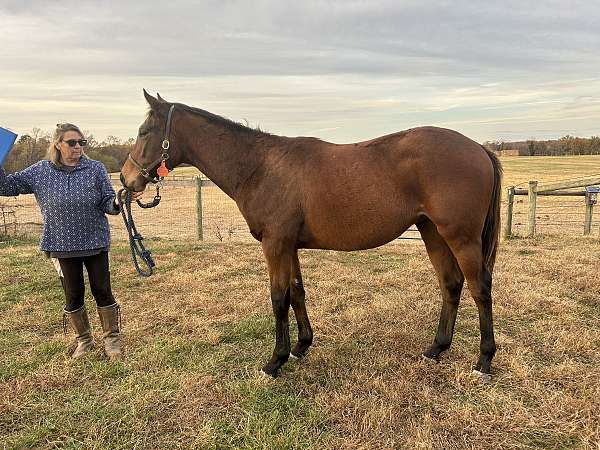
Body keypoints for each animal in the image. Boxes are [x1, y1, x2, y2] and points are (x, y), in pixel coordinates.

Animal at [120, 90, 502, 380]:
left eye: (144, 131)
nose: (126, 180)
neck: (259, 167)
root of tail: (478, 148)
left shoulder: (275, 245)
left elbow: (278, 299)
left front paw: (275, 361)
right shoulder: (289, 246)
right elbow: (296, 292)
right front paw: (302, 346)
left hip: (461, 238)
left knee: (479, 288)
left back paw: (483, 360)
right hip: (432, 232)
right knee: (451, 284)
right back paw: (436, 348)